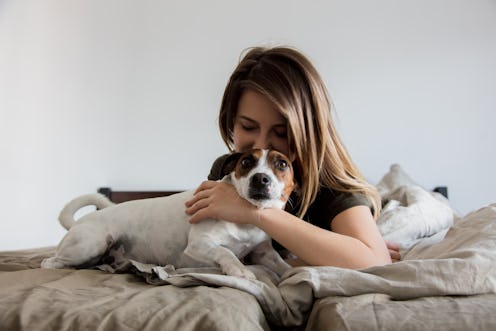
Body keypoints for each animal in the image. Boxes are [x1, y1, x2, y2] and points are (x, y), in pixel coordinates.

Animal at [41, 150, 294, 280]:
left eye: (282, 164)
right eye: (246, 161)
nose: (260, 178)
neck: (244, 217)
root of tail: (80, 221)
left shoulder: (264, 253)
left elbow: (283, 266)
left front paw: (295, 271)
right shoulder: (199, 244)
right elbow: (226, 252)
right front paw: (239, 269)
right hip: (90, 244)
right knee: (49, 262)